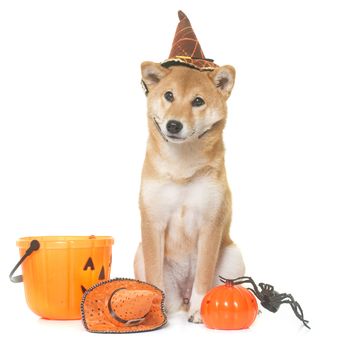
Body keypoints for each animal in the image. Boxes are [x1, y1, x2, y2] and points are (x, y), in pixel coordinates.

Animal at [134, 61, 246, 322]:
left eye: (198, 101)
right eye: (169, 95)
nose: (173, 125)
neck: (181, 167)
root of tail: (181, 298)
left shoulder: (210, 223)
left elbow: (203, 275)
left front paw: (198, 309)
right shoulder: (153, 223)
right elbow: (154, 274)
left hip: (234, 256)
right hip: (139, 252)